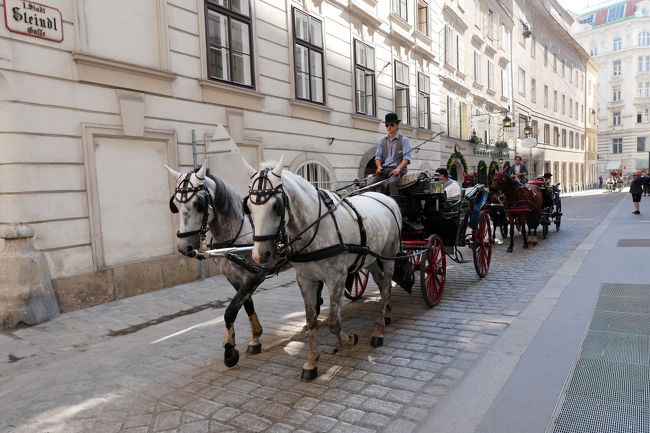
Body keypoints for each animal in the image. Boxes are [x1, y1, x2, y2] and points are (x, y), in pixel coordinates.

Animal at [167, 160, 268, 366]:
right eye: (175, 204)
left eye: (198, 204)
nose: (183, 247)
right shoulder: (235, 277)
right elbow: (246, 304)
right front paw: (255, 338)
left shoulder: (256, 276)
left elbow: (231, 310)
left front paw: (229, 350)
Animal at [242, 157, 400, 380]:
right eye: (248, 206)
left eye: (276, 206)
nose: (260, 255)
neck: (315, 228)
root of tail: (385, 198)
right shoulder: (305, 280)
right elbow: (311, 320)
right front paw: (312, 361)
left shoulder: (337, 278)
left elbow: (334, 322)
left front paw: (348, 339)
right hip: (370, 258)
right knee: (379, 283)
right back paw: (386, 313)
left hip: (389, 254)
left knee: (386, 287)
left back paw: (378, 331)